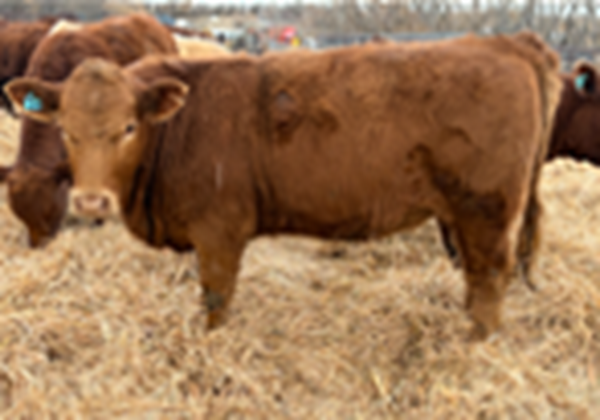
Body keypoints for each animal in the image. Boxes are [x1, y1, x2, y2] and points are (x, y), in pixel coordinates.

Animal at [5, 32, 562, 339]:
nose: (91, 199)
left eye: (127, 127)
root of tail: (505, 43)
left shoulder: (220, 232)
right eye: (66, 129)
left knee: (490, 277)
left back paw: (475, 344)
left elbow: (216, 300)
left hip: (486, 209)